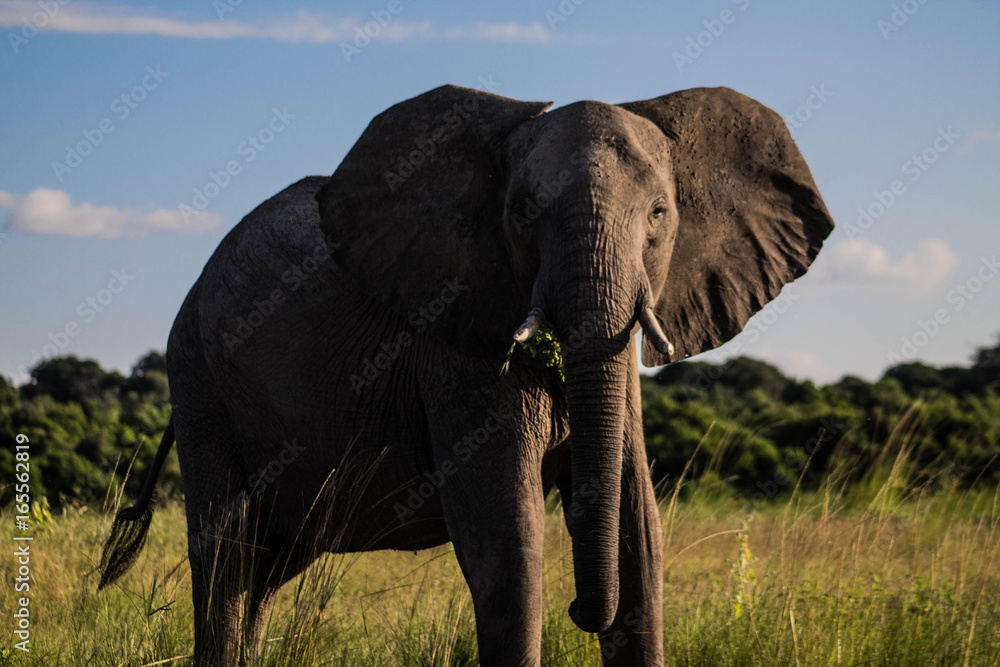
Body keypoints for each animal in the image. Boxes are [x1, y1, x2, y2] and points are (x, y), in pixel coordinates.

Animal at [99, 84, 834, 665]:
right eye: (523, 213)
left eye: (659, 215)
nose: (579, 610)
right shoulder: (455, 340)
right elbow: (507, 542)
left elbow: (640, 535)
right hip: (198, 378)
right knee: (225, 555)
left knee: (266, 567)